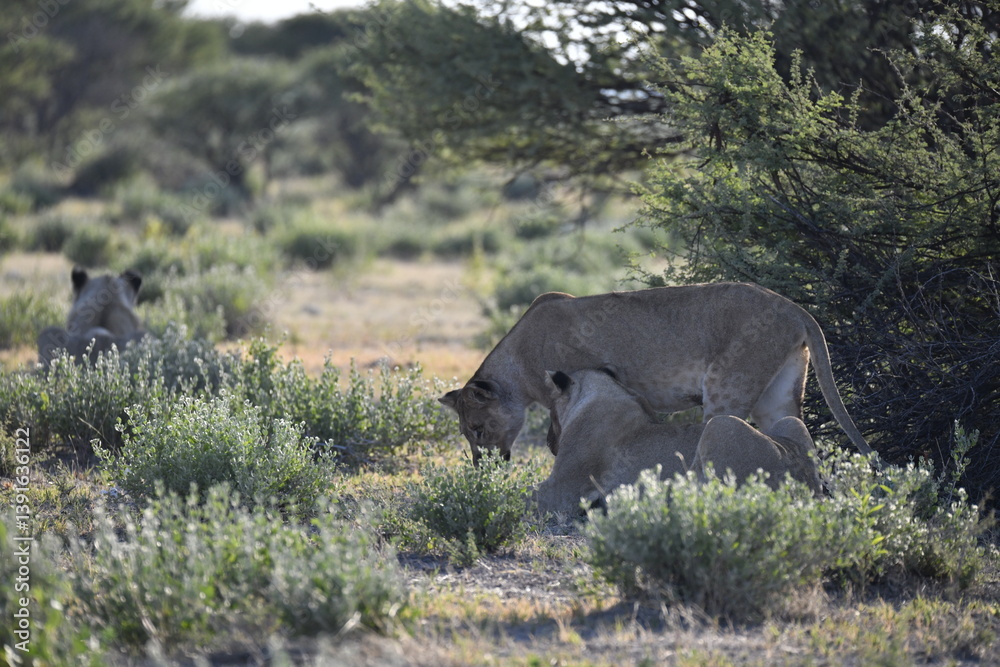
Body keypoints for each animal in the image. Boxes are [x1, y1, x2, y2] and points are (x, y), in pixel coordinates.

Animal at [439, 283, 872, 465]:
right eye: (467, 433)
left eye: (478, 429)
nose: (482, 467)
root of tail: (794, 308)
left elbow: (560, 438)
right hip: (778, 393)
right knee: (794, 436)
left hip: (725, 387)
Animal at [533, 368, 822, 515]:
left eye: (550, 409)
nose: (548, 441)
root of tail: (805, 489)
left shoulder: (560, 491)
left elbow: (527, 494)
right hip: (790, 424)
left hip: (721, 425)